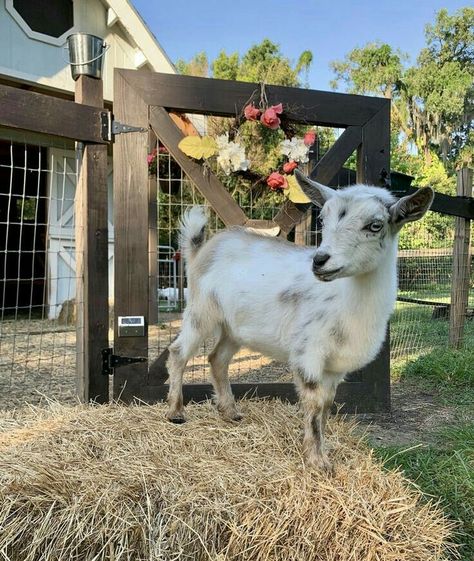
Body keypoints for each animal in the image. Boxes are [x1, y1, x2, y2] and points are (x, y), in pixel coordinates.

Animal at [166, 168, 434, 470]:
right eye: (322, 220)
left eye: (375, 225)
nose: (320, 260)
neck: (348, 304)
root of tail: (199, 251)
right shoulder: (309, 354)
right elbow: (314, 406)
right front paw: (319, 462)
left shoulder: (334, 367)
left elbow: (327, 406)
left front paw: (322, 448)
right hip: (201, 309)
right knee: (178, 352)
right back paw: (176, 412)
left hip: (234, 327)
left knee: (217, 359)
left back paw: (230, 412)